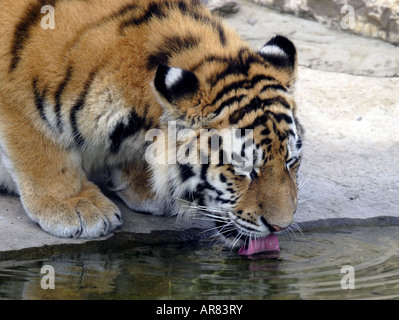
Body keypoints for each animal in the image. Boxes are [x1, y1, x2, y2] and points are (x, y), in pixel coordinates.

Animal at [0, 0, 302, 251]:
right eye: (244, 169)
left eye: (291, 162)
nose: (281, 226)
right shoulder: (17, 98)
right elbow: (41, 150)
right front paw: (75, 206)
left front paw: (145, 188)